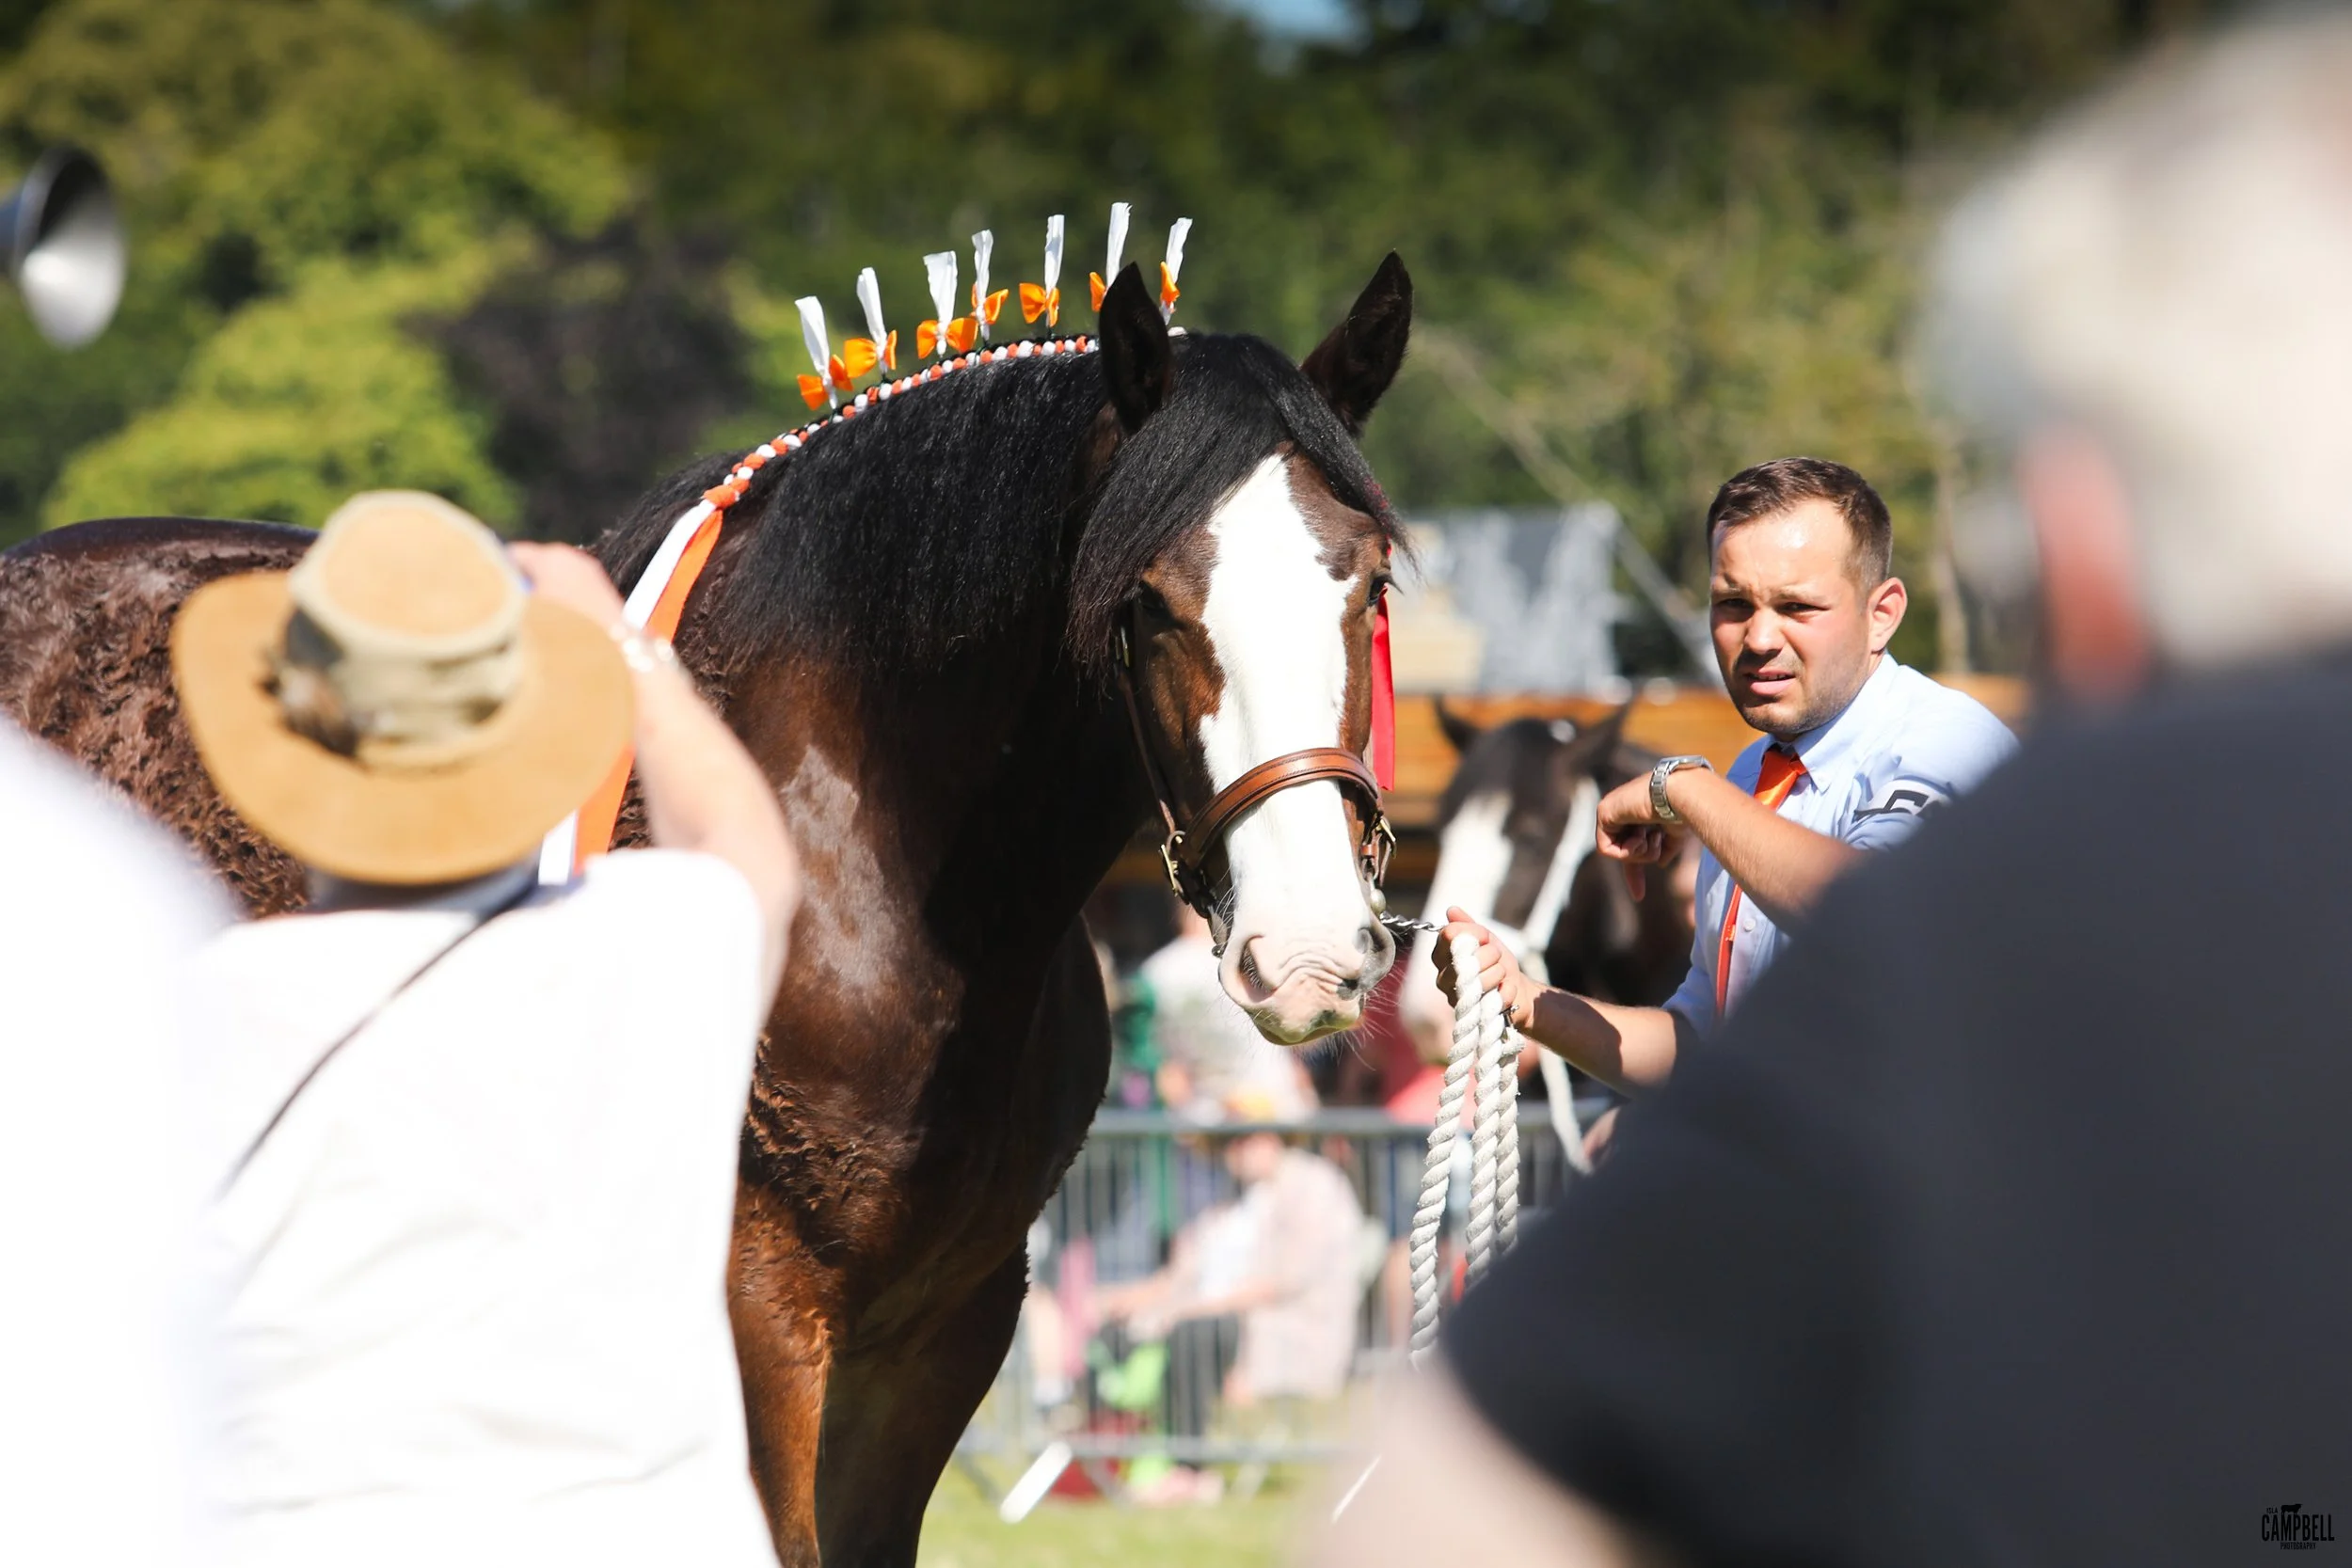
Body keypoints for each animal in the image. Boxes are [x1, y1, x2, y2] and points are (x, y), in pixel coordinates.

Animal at [0, 260, 1413, 1567]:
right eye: (1148, 602)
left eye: (1370, 585)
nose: (1306, 949)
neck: (864, 839)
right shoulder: (752, 1308)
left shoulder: (937, 1331)